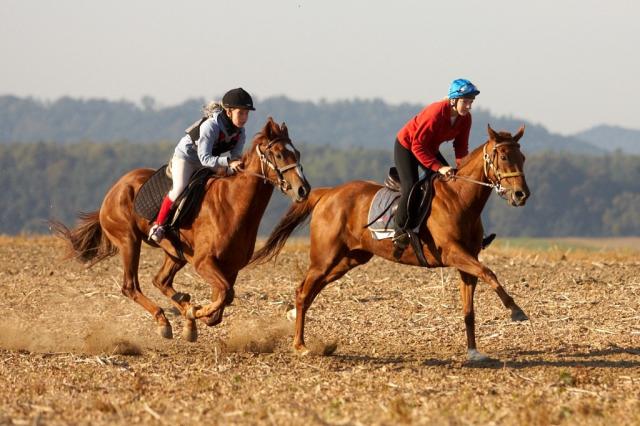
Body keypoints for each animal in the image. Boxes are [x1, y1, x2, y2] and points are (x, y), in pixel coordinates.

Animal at [53, 118, 308, 342]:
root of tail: (113, 191)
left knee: (160, 281)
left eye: (297, 153)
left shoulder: (230, 267)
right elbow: (225, 295)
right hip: (129, 241)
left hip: (175, 253)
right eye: (279, 154)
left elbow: (222, 303)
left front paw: (192, 315)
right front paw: (194, 312)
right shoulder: (204, 262)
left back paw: (181, 308)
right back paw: (164, 321)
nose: (303, 189)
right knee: (131, 286)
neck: (234, 204)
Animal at [254, 125, 528, 362]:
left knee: (311, 291)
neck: (459, 198)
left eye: (522, 157)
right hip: (325, 257)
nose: (521, 194)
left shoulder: (466, 262)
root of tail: (327, 193)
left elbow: (469, 309)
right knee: (303, 291)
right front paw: (515, 310)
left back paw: (296, 326)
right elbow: (489, 272)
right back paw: (299, 345)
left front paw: (473, 352)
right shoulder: (453, 253)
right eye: (504, 157)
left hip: (349, 258)